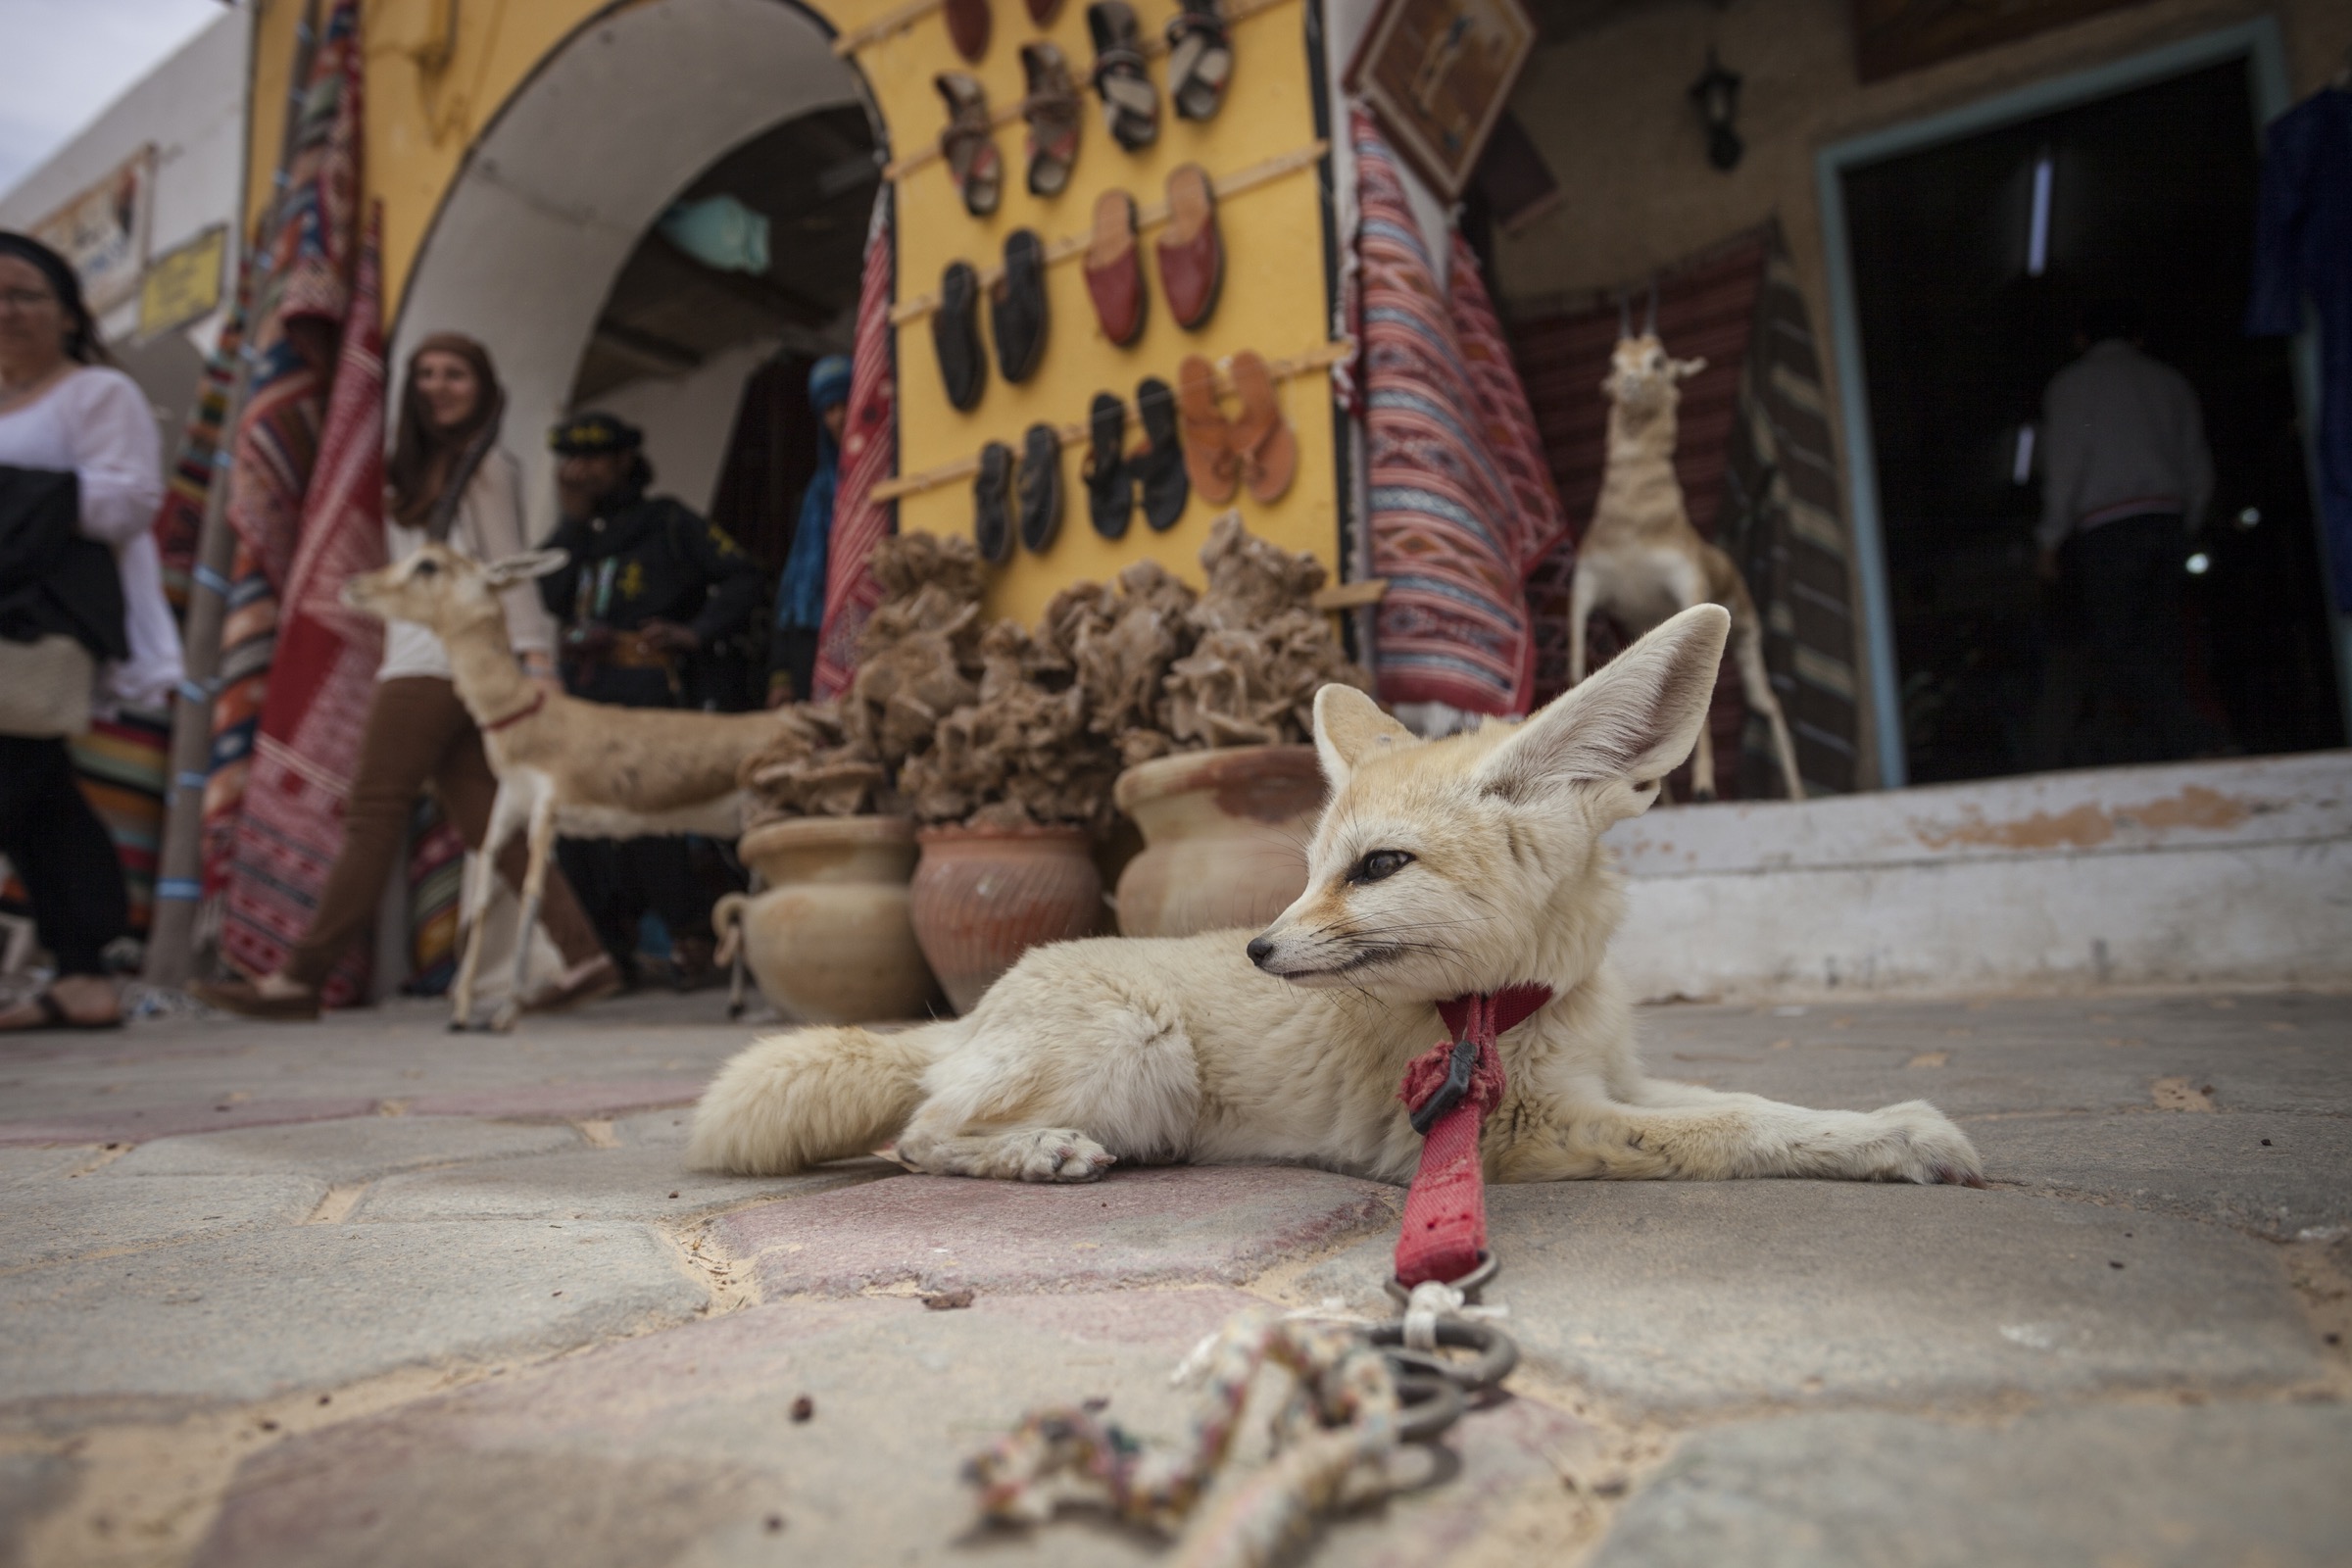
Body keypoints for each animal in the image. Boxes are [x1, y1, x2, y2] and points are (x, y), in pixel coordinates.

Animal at [688, 603, 1985, 1191]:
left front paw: (1882, 1124)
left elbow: (1745, 1096)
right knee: (917, 1135)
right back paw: (1040, 1149)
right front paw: (1889, 1138)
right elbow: (1725, 1129)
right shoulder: (1510, 1126)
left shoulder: (1605, 1081)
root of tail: (975, 1007)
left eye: (1376, 868)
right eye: (1313, 867)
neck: (1519, 1007)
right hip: (1138, 1051)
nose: (1260, 950)